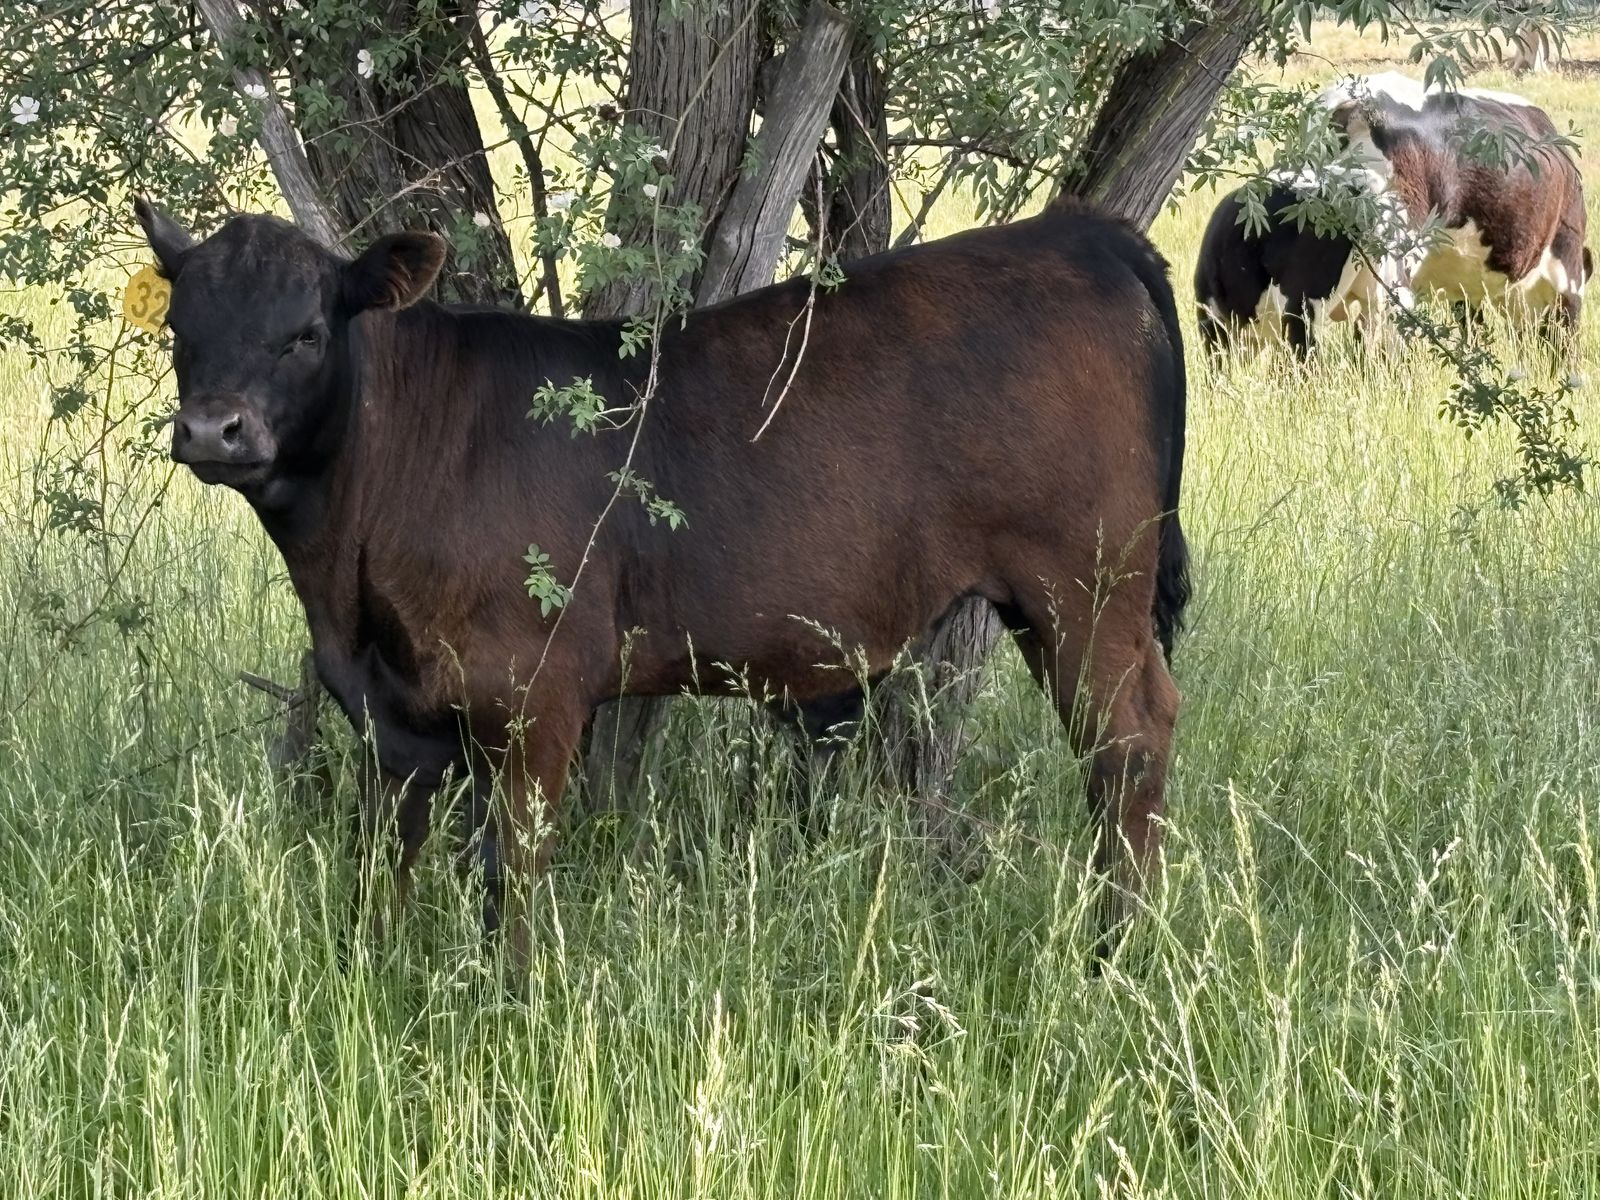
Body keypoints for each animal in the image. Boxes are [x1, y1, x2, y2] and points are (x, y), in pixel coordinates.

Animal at [133, 195, 1190, 965]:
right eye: (180, 326)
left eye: (307, 332)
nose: (215, 429)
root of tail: (1077, 232)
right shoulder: (389, 716)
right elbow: (385, 863)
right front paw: (375, 980)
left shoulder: (540, 694)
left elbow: (511, 871)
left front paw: (507, 1006)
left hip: (1087, 581)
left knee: (1127, 742)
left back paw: (1119, 952)